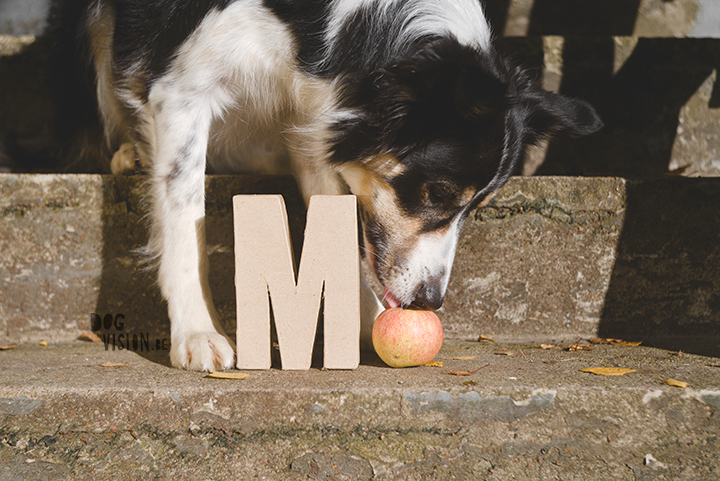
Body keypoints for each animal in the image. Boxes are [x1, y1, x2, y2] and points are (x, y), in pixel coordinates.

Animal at [53, 0, 600, 372]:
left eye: (478, 208)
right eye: (439, 193)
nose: (430, 302)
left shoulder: (313, 113)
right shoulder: (183, 88)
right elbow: (186, 219)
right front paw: (198, 333)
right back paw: (129, 151)